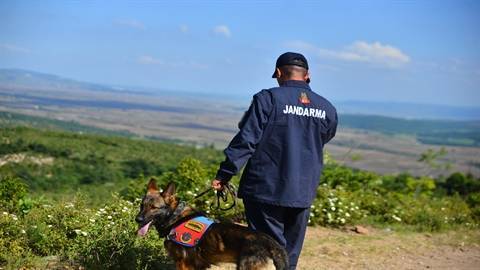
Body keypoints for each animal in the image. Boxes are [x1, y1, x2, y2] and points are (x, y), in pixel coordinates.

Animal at [135, 179, 286, 270]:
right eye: (142, 205)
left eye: (153, 208)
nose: (138, 219)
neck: (174, 216)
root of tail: (272, 244)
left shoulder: (183, 264)